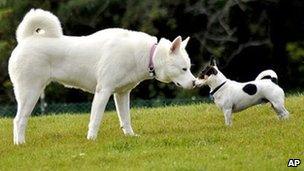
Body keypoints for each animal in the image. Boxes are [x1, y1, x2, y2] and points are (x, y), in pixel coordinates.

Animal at [8, 8, 197, 144]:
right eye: (184, 69)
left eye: (189, 68)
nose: (195, 82)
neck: (146, 55)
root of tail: (26, 40)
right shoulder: (103, 91)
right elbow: (96, 119)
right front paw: (91, 140)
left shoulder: (122, 94)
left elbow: (125, 119)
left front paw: (130, 136)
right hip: (30, 93)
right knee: (18, 120)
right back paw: (20, 144)